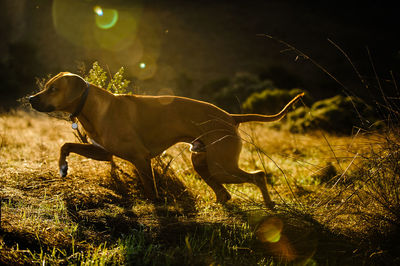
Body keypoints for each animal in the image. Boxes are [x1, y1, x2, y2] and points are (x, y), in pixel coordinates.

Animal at [28, 72, 304, 208]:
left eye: (53, 89)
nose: (31, 98)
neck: (92, 106)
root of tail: (230, 116)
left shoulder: (140, 158)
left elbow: (151, 189)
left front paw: (158, 206)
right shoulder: (103, 152)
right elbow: (66, 145)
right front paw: (63, 167)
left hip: (221, 166)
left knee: (258, 175)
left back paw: (269, 204)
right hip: (202, 163)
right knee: (225, 193)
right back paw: (220, 205)